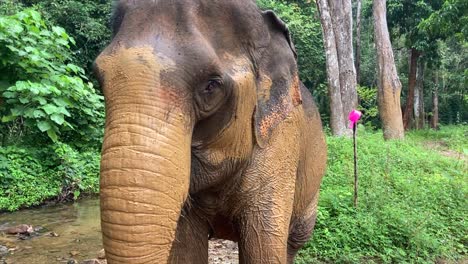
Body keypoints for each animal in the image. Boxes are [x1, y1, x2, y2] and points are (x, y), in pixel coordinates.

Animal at [94, 1, 330, 262]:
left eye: (211, 86)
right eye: (98, 78)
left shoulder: (280, 144)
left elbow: (262, 250)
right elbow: (187, 250)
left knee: (295, 239)